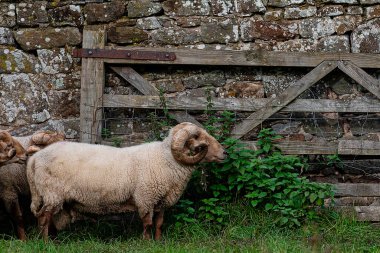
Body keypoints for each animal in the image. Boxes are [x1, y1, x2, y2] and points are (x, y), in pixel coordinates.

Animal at [28, 122, 227, 241]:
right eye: (200, 140)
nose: (225, 153)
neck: (167, 159)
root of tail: (36, 158)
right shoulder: (146, 198)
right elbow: (147, 223)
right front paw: (147, 243)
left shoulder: (161, 201)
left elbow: (159, 223)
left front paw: (159, 241)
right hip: (52, 193)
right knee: (44, 217)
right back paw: (46, 243)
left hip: (50, 195)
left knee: (46, 217)